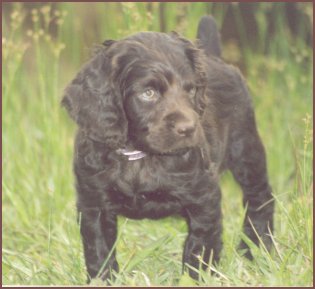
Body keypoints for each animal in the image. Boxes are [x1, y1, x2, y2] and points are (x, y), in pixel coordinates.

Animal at [61, 16, 274, 282]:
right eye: (148, 93)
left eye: (191, 90)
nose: (189, 128)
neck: (139, 156)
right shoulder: (93, 202)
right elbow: (99, 251)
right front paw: (103, 280)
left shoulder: (203, 197)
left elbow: (199, 248)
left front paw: (196, 280)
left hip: (245, 149)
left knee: (260, 198)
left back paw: (256, 249)